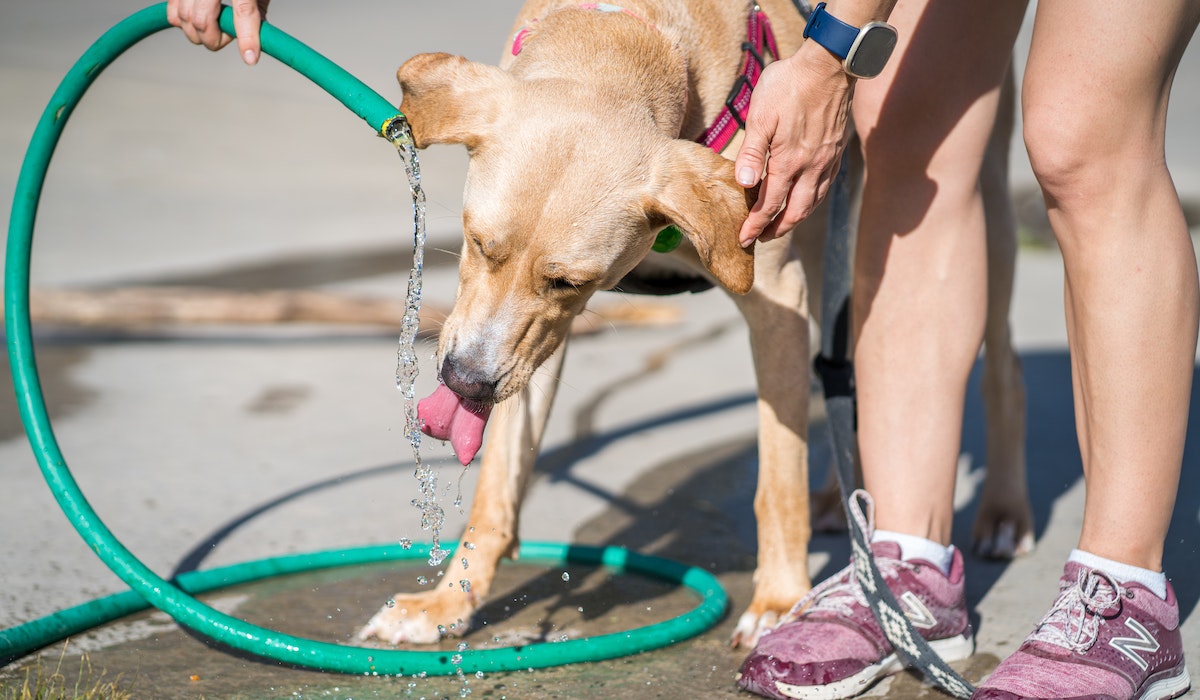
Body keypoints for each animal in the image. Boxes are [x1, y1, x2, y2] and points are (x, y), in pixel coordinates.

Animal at [355, 0, 1032, 653]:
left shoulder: (777, 300)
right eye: (477, 243)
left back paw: (1005, 513)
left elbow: (777, 479)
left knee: (1001, 362)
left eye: (569, 282)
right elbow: (497, 484)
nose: (464, 383)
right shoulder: (527, 345)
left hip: (970, 204)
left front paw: (779, 601)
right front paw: (447, 604)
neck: (634, 33)